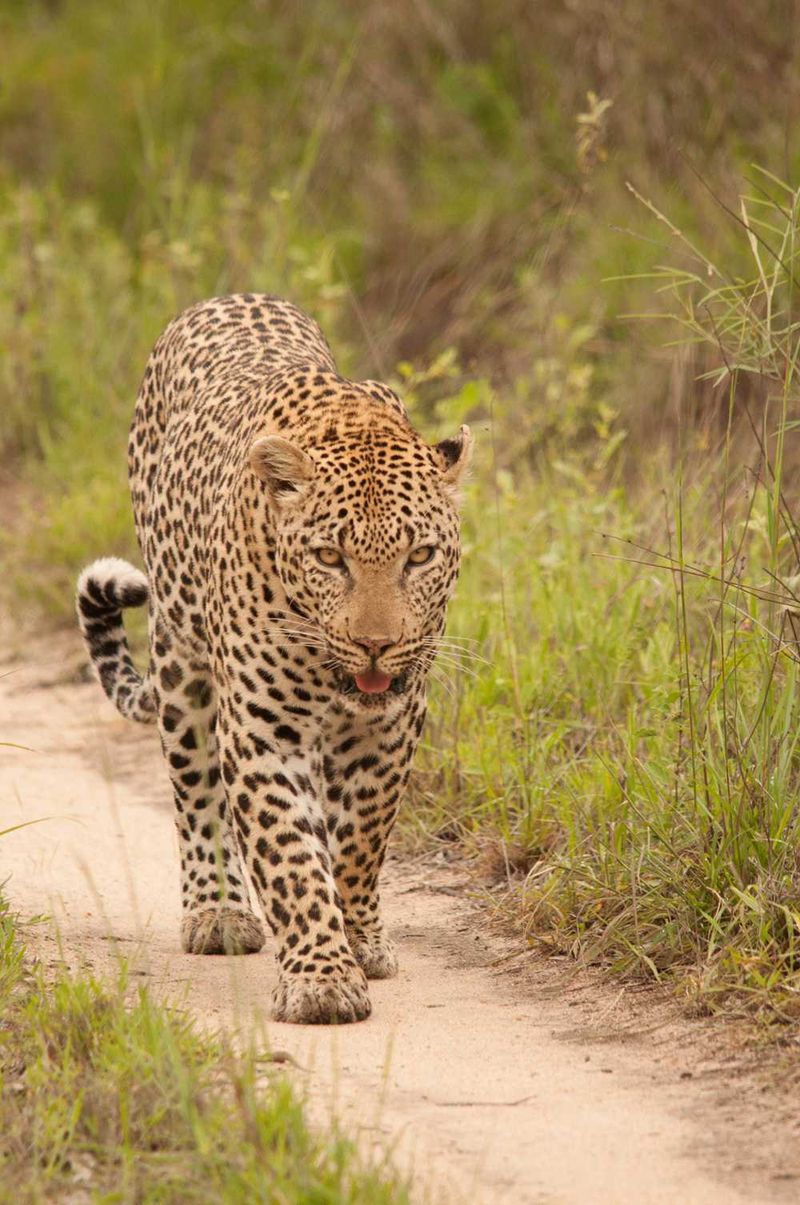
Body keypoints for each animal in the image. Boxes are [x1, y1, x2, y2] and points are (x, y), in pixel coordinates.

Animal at [76, 293, 472, 1025]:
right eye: (330, 557)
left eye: (421, 556)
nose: (377, 644)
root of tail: (226, 297)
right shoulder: (264, 730)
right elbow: (288, 850)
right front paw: (321, 979)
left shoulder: (393, 723)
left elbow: (361, 839)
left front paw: (358, 937)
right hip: (181, 666)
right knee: (197, 793)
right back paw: (219, 914)